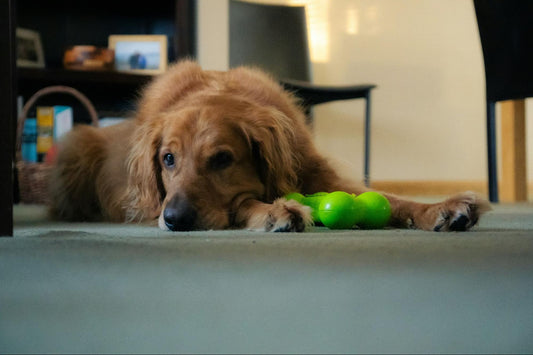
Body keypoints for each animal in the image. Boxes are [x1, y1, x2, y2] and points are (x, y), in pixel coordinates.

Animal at [47, 60, 488, 234]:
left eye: (222, 159)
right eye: (167, 159)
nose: (173, 219)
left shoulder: (315, 171)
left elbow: (391, 198)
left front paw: (442, 207)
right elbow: (244, 201)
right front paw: (275, 210)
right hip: (77, 148)